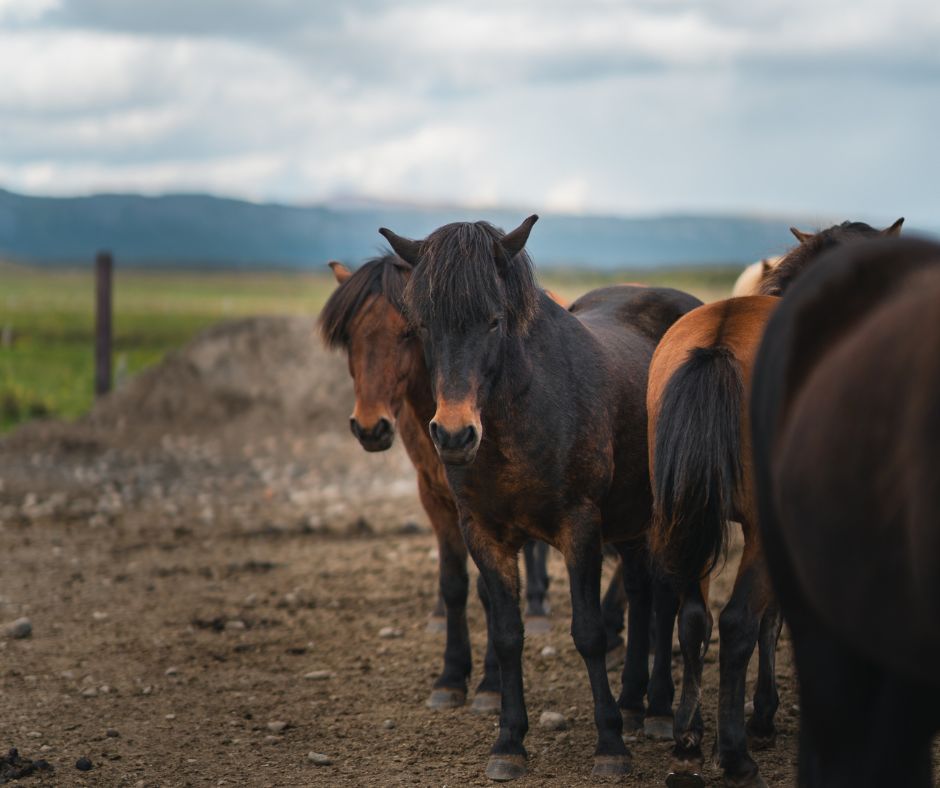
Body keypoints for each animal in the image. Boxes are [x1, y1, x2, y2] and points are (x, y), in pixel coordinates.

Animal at [318, 254, 619, 712]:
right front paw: (450, 676)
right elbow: (454, 585)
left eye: (407, 332)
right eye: (350, 337)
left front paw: (491, 684)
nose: (370, 427)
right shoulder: (435, 498)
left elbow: (488, 592)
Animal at [381, 216, 702, 780]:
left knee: (665, 601)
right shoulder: (483, 532)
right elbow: (508, 634)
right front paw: (509, 741)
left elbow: (589, 631)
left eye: (493, 321)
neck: (522, 413)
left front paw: (610, 745)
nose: (455, 435)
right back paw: (636, 703)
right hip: (633, 520)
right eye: (424, 326)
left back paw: (660, 710)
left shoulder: (580, 527)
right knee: (642, 595)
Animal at [646, 218, 903, 787]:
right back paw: (736, 755)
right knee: (737, 622)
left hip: (681, 518)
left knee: (693, 617)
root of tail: (718, 343)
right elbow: (772, 621)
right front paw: (763, 715)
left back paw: (689, 739)